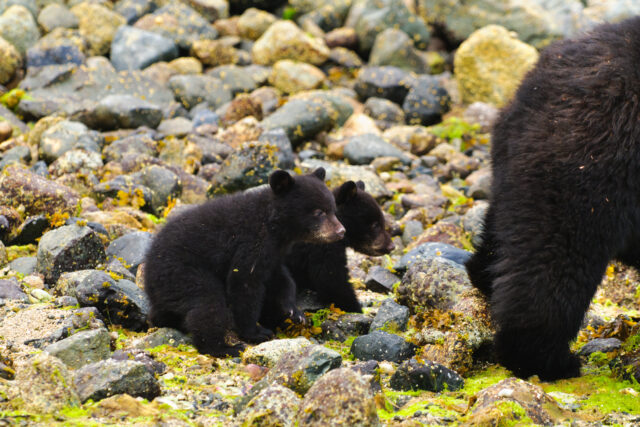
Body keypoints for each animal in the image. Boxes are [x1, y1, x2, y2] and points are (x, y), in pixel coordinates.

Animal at [143, 168, 345, 357]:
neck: (273, 224)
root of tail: (147, 273)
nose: (341, 231)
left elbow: (281, 278)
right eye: (318, 212)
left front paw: (295, 312)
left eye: (333, 209)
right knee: (207, 303)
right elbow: (244, 284)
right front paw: (256, 332)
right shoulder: (251, 242)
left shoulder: (272, 253)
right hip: (182, 272)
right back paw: (224, 348)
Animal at [261, 180, 394, 329]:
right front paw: (358, 309)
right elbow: (331, 279)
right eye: (375, 224)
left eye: (382, 221)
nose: (391, 246)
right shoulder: (321, 247)